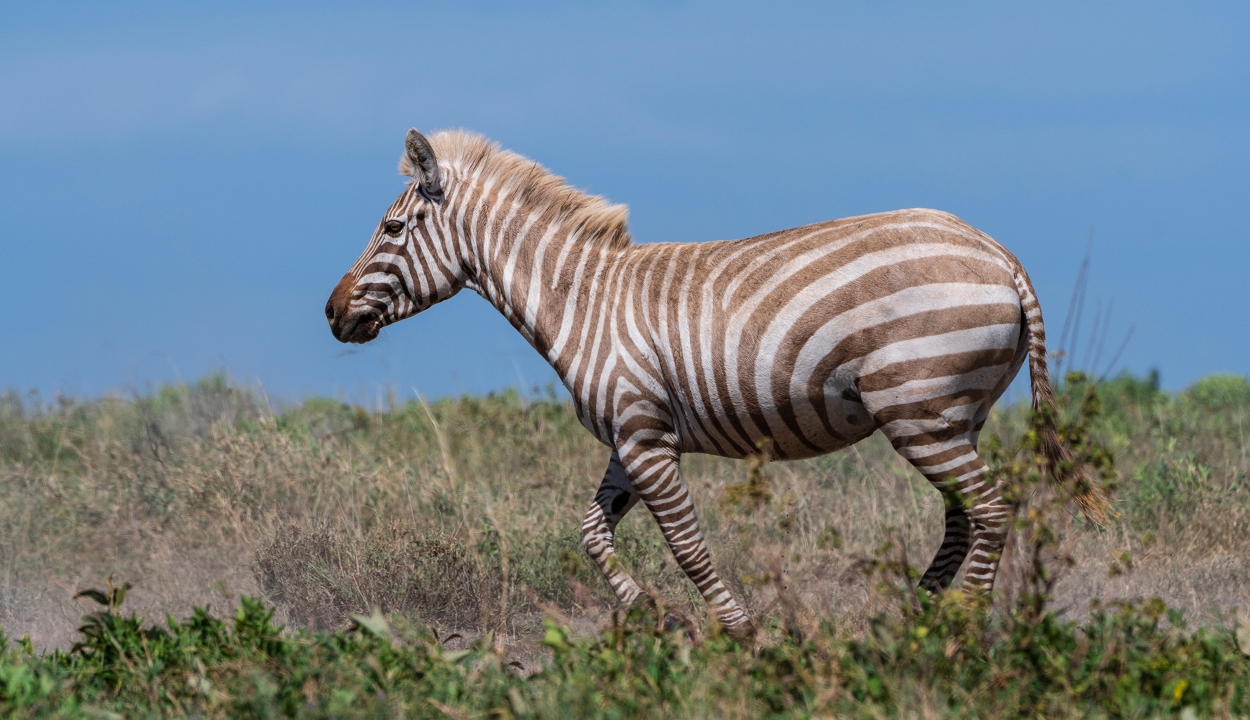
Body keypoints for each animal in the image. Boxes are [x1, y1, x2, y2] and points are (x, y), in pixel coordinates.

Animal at [327, 128, 1110, 635]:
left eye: (391, 229)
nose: (332, 314)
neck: (582, 300)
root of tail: (999, 253)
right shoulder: (630, 435)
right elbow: (591, 534)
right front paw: (657, 615)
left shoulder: (645, 437)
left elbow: (687, 545)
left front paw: (738, 632)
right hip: (950, 415)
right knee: (964, 516)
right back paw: (914, 617)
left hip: (918, 409)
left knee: (993, 510)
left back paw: (961, 627)